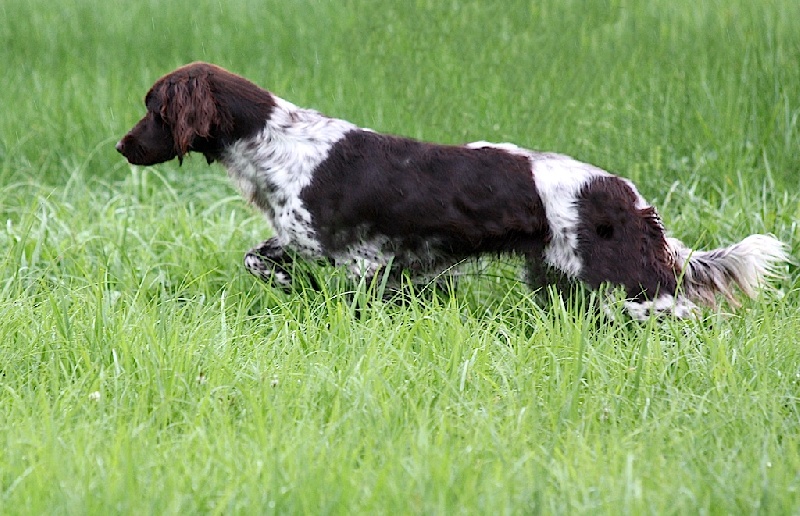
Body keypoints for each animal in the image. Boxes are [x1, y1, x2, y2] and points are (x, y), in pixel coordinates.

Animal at [115, 60, 784, 318]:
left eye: (152, 109)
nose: (121, 147)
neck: (278, 144)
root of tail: (629, 196)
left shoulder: (366, 262)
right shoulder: (304, 241)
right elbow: (259, 259)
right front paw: (292, 287)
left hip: (630, 287)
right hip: (559, 280)